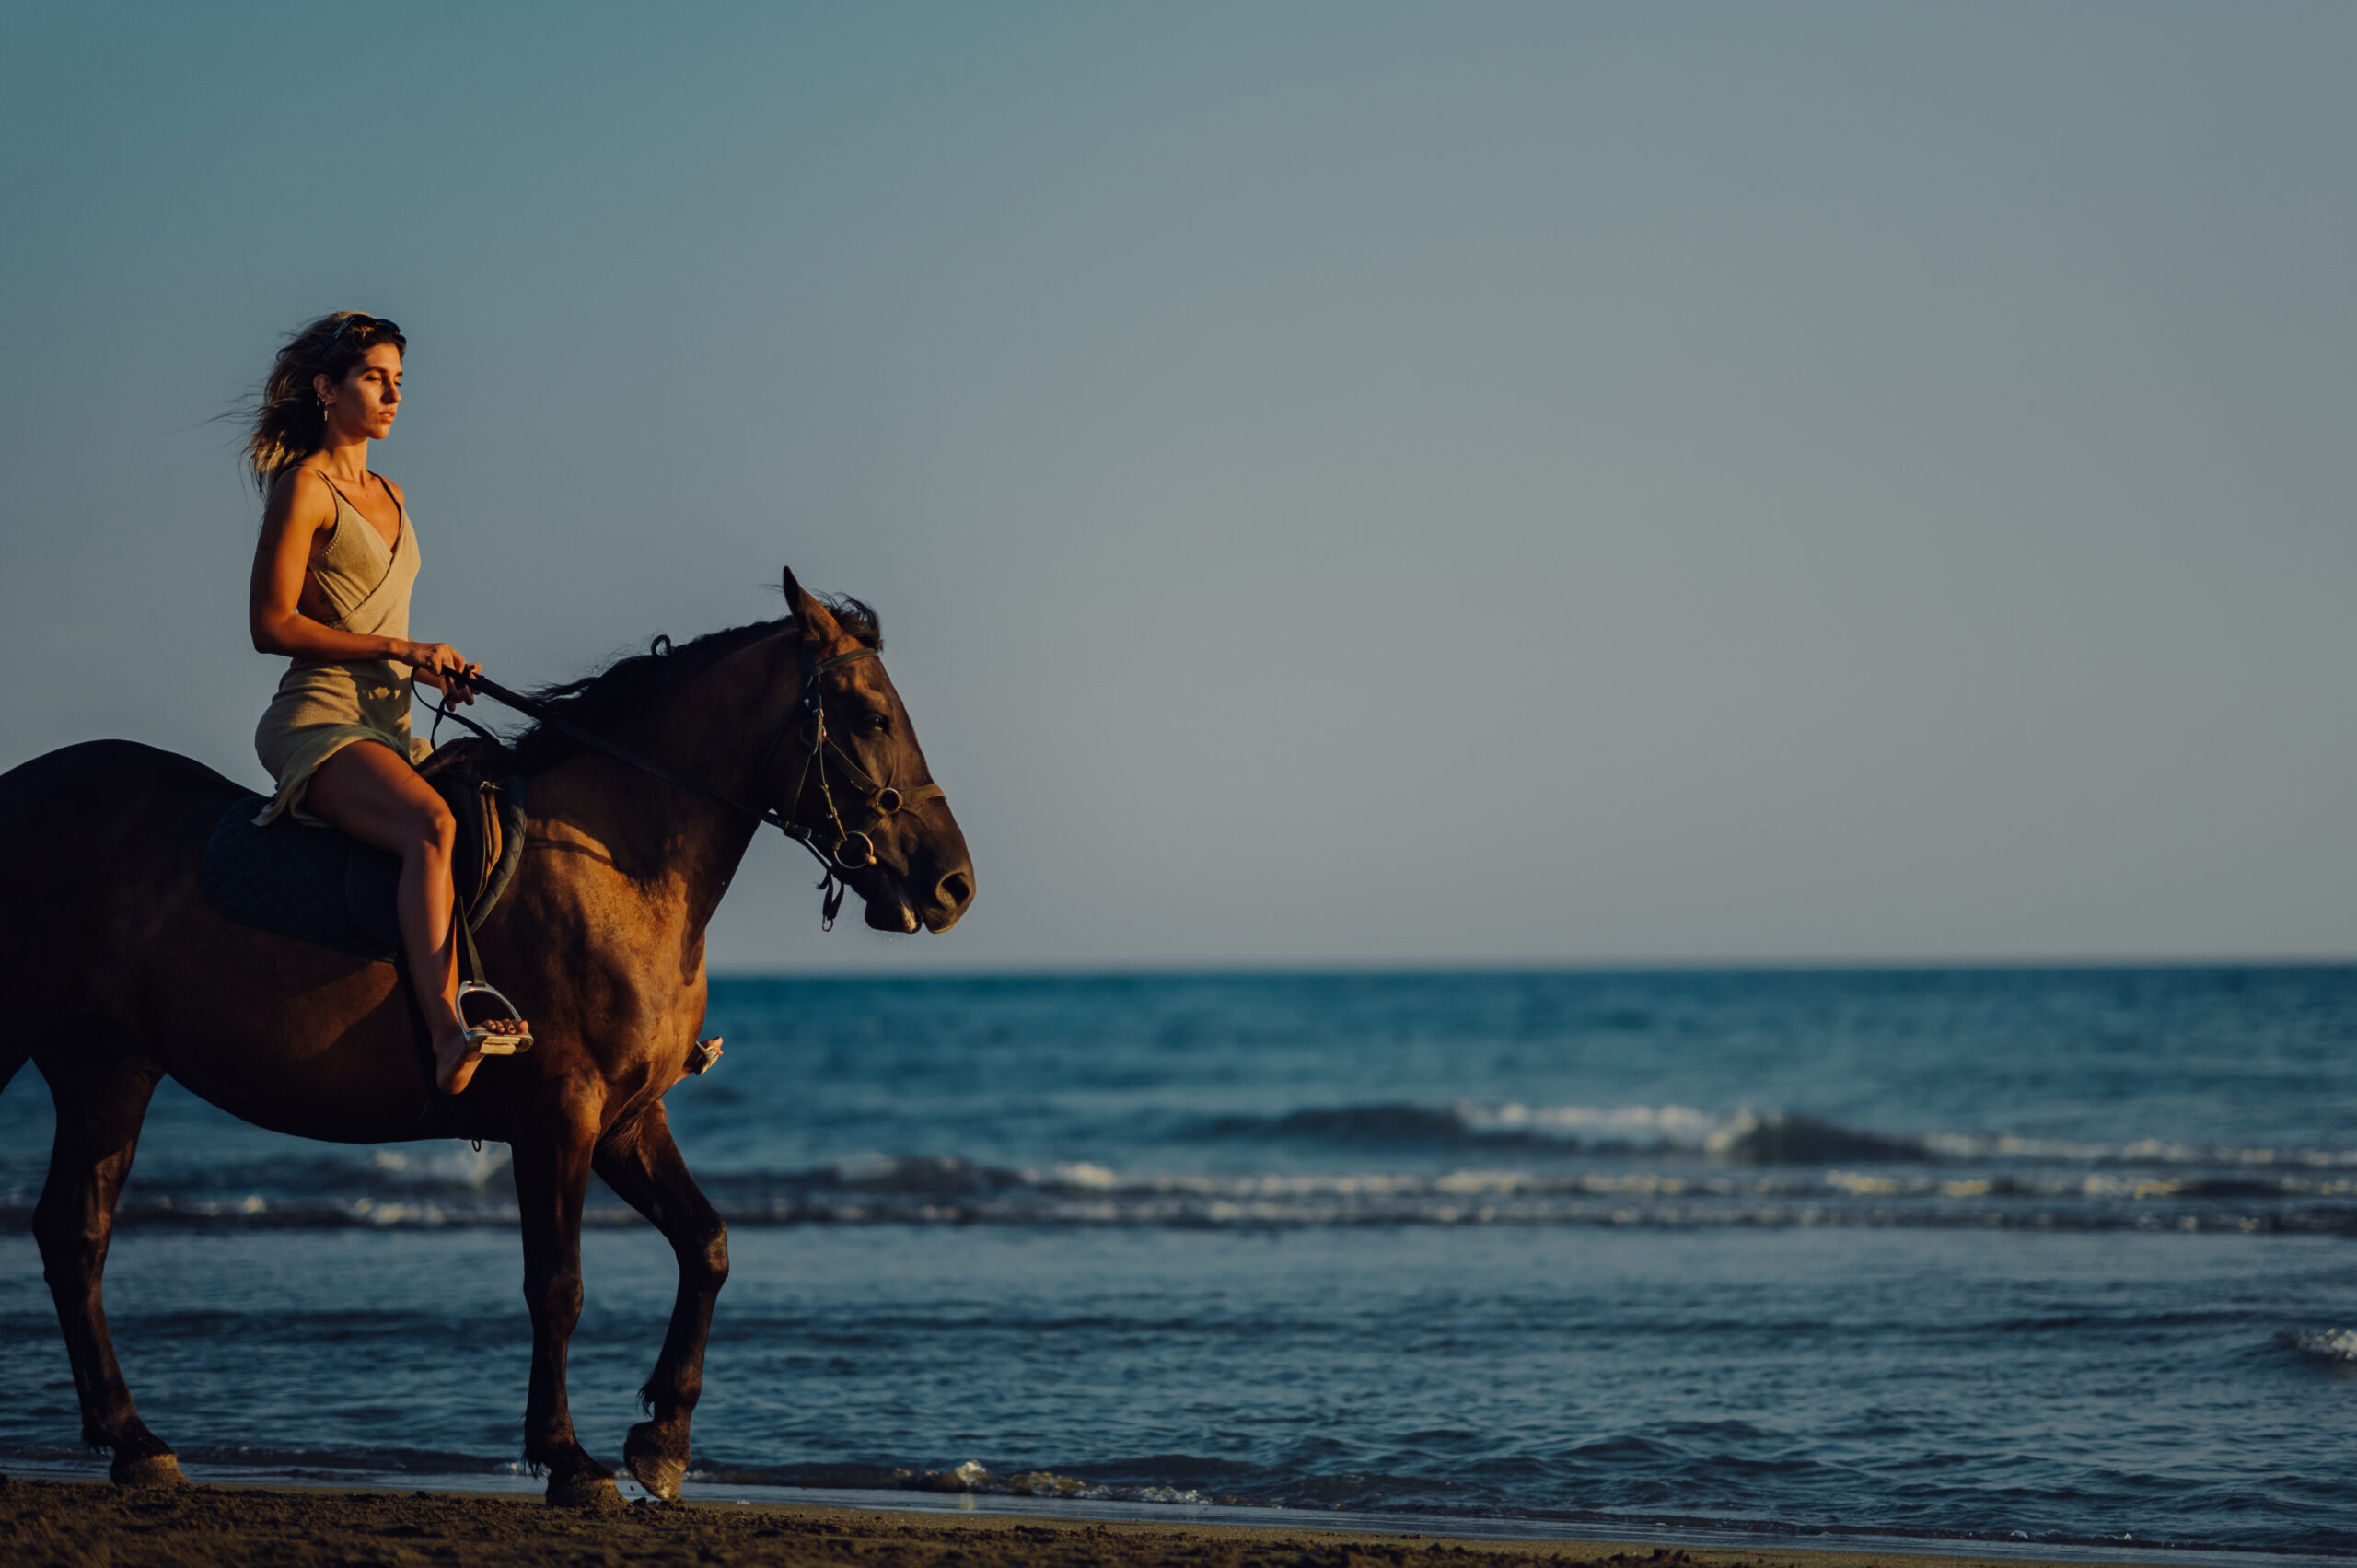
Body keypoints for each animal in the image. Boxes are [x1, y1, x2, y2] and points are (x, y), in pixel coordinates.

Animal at [0, 568, 974, 1507]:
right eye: (872, 715)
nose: (954, 885)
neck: (617, 862)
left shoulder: (628, 1120)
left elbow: (708, 1244)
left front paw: (662, 1440)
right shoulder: (559, 1119)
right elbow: (558, 1286)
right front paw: (570, 1459)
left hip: (106, 1069)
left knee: (74, 1235)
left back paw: (135, 1443)